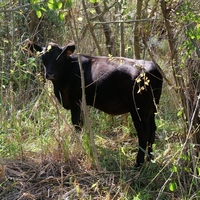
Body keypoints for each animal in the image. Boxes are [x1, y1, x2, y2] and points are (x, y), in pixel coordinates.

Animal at [28, 42, 162, 167]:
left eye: (59, 58)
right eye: (43, 57)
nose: (50, 74)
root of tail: (152, 68)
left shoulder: (75, 100)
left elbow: (76, 124)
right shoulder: (81, 103)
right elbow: (81, 123)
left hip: (137, 109)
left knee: (143, 132)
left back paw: (138, 163)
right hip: (151, 107)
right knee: (152, 129)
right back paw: (150, 158)